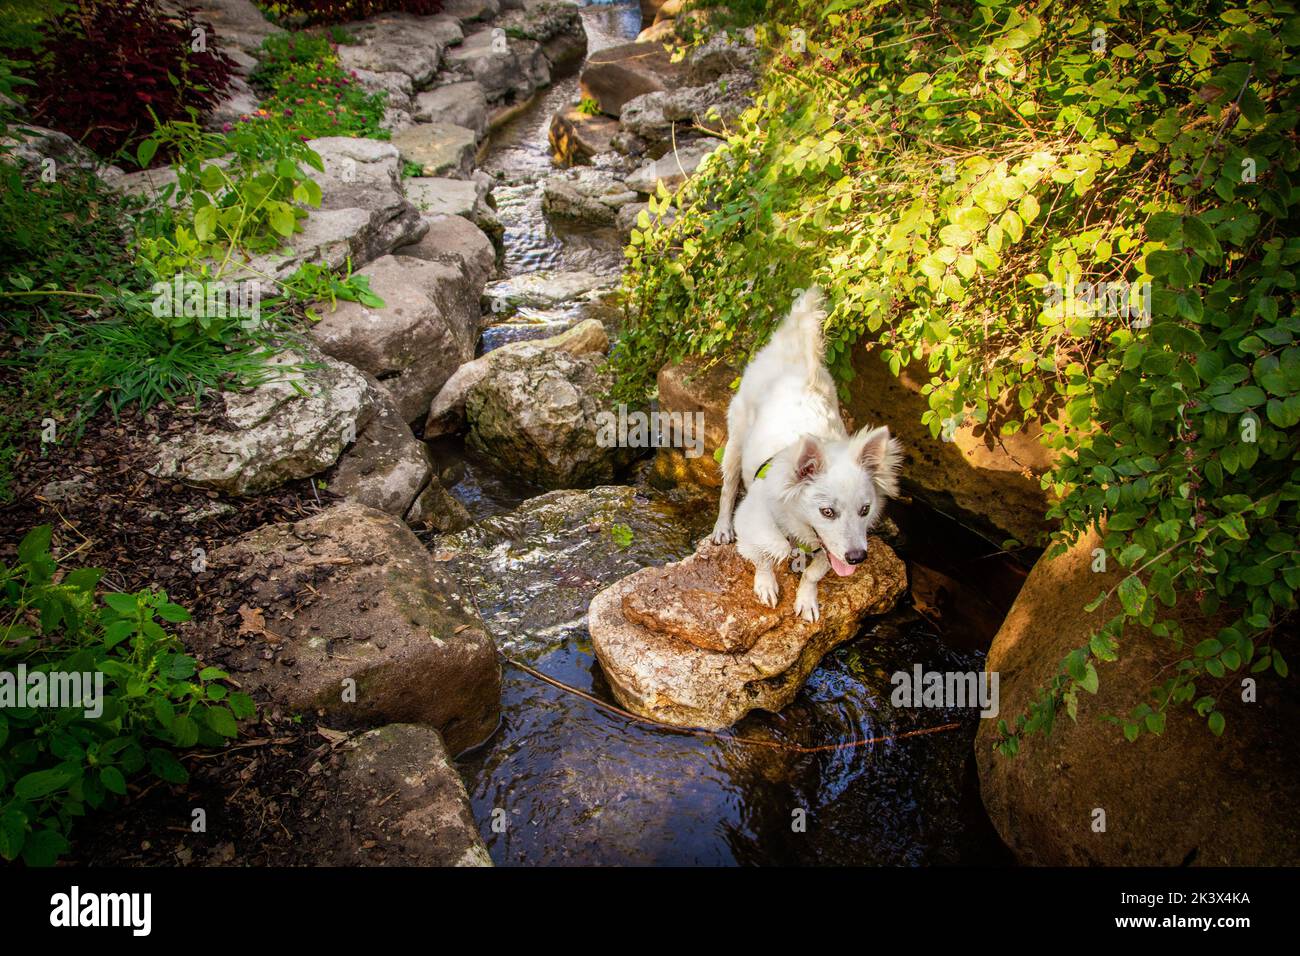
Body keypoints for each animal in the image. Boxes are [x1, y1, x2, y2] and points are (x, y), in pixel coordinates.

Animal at [712, 287, 904, 624]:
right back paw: (722, 527)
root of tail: (792, 351)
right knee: (728, 487)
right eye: (827, 512)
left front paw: (806, 598)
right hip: (735, 441)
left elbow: (815, 571)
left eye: (865, 510)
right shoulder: (753, 523)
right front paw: (766, 583)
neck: (798, 524)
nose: (858, 558)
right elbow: (764, 555)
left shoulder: (832, 549)